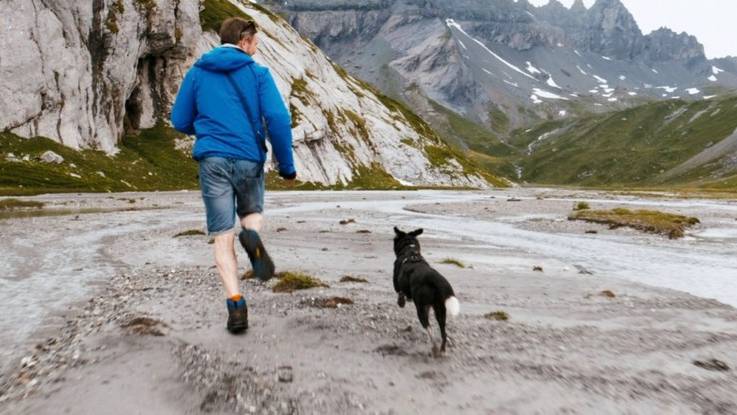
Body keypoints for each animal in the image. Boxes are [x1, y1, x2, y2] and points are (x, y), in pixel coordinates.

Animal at [394, 228, 458, 358]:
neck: (410, 250)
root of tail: (434, 278)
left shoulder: (398, 287)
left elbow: (400, 295)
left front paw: (401, 302)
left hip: (421, 308)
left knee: (429, 327)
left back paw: (434, 348)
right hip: (440, 310)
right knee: (443, 332)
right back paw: (442, 350)